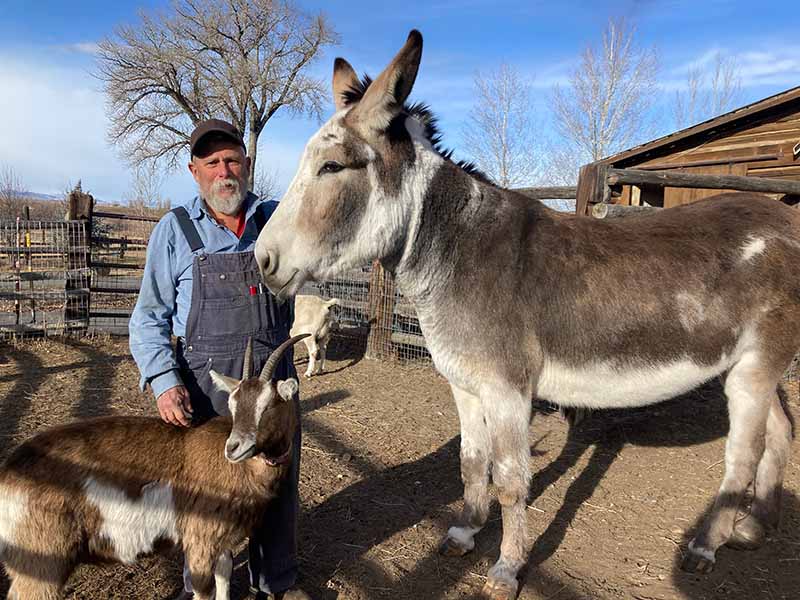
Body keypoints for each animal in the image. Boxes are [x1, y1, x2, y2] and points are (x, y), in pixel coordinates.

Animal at [0, 334, 307, 600]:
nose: (233, 448)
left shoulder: (222, 542)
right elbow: (204, 591)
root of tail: (9, 473)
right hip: (42, 559)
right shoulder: (200, 540)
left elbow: (224, 580)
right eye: (232, 405)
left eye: (268, 406)